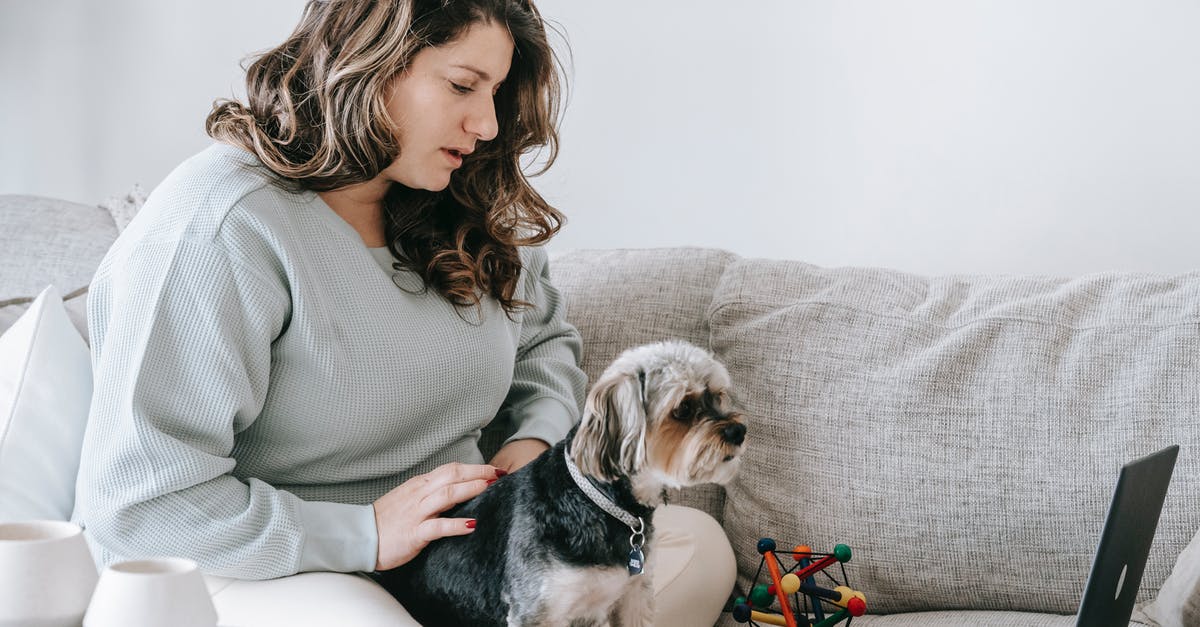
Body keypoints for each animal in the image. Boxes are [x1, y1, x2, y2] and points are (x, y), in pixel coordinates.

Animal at [376, 338, 748, 624]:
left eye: (718, 395)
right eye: (682, 409)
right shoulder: (538, 611)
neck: (600, 502)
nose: (739, 430)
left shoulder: (633, 595)